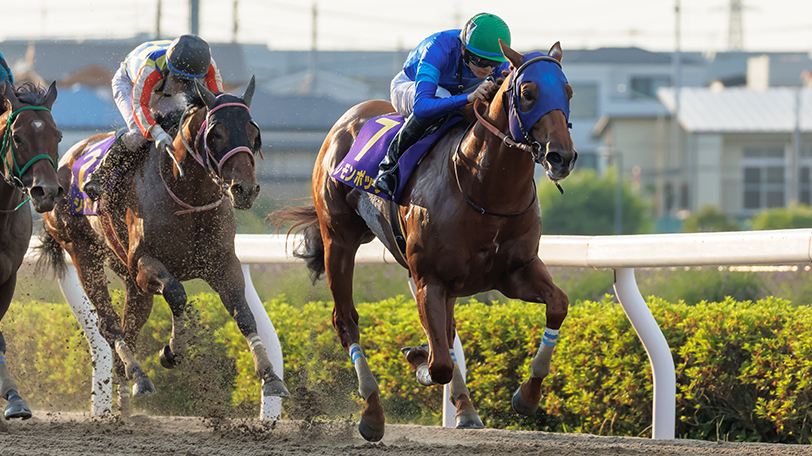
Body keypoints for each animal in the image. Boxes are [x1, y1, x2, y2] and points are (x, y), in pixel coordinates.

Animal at [40, 78, 292, 414]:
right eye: (217, 134)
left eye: (253, 133)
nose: (245, 189)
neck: (187, 195)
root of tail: (66, 160)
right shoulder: (145, 264)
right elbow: (177, 293)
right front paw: (172, 350)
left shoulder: (223, 262)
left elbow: (243, 312)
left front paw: (270, 376)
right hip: (83, 254)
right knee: (110, 326)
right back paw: (139, 376)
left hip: (128, 277)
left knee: (129, 329)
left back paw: (125, 403)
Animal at [272, 41, 576, 442]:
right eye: (528, 93)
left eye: (569, 92)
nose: (562, 157)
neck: (484, 188)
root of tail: (348, 119)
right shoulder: (430, 279)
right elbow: (439, 364)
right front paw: (418, 358)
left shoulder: (515, 272)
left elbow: (558, 304)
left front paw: (526, 396)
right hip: (339, 240)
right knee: (346, 320)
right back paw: (372, 411)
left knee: (446, 330)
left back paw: (466, 409)